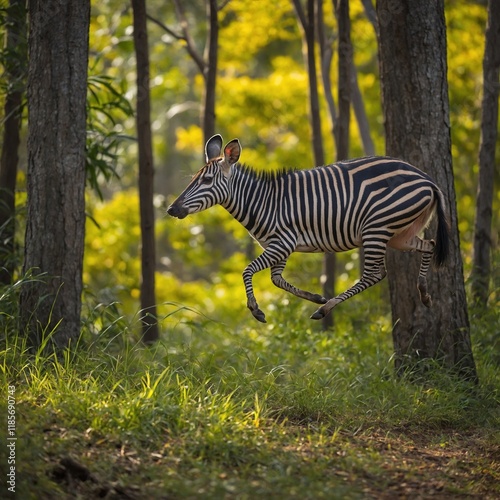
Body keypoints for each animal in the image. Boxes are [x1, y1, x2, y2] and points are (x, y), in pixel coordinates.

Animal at [168, 135, 450, 324]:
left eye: (206, 180)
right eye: (193, 179)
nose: (172, 209)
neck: (263, 202)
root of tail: (427, 179)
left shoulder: (282, 242)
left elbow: (248, 271)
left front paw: (256, 310)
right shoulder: (280, 247)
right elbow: (277, 279)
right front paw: (316, 297)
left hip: (377, 227)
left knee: (374, 274)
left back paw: (325, 310)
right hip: (400, 234)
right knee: (429, 245)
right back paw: (424, 293)